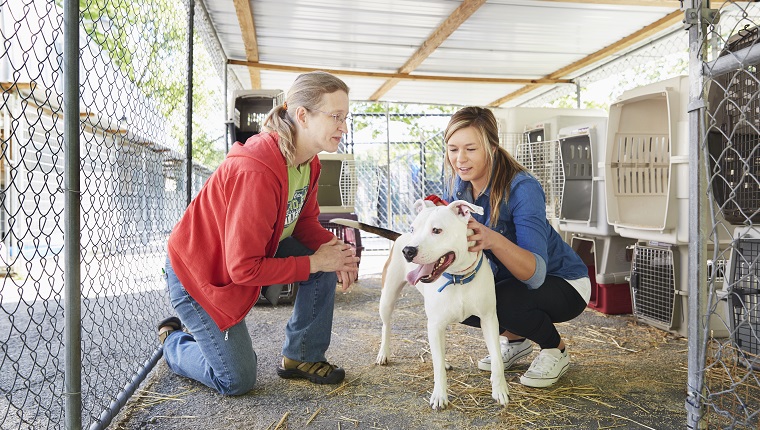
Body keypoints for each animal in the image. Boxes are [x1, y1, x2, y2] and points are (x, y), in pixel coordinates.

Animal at [336, 200, 508, 408]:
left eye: (437, 230)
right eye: (413, 229)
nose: (408, 251)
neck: (457, 278)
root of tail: (400, 236)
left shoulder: (489, 319)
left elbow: (497, 359)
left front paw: (500, 390)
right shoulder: (435, 323)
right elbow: (437, 368)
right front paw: (440, 395)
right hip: (387, 299)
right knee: (386, 325)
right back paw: (384, 353)